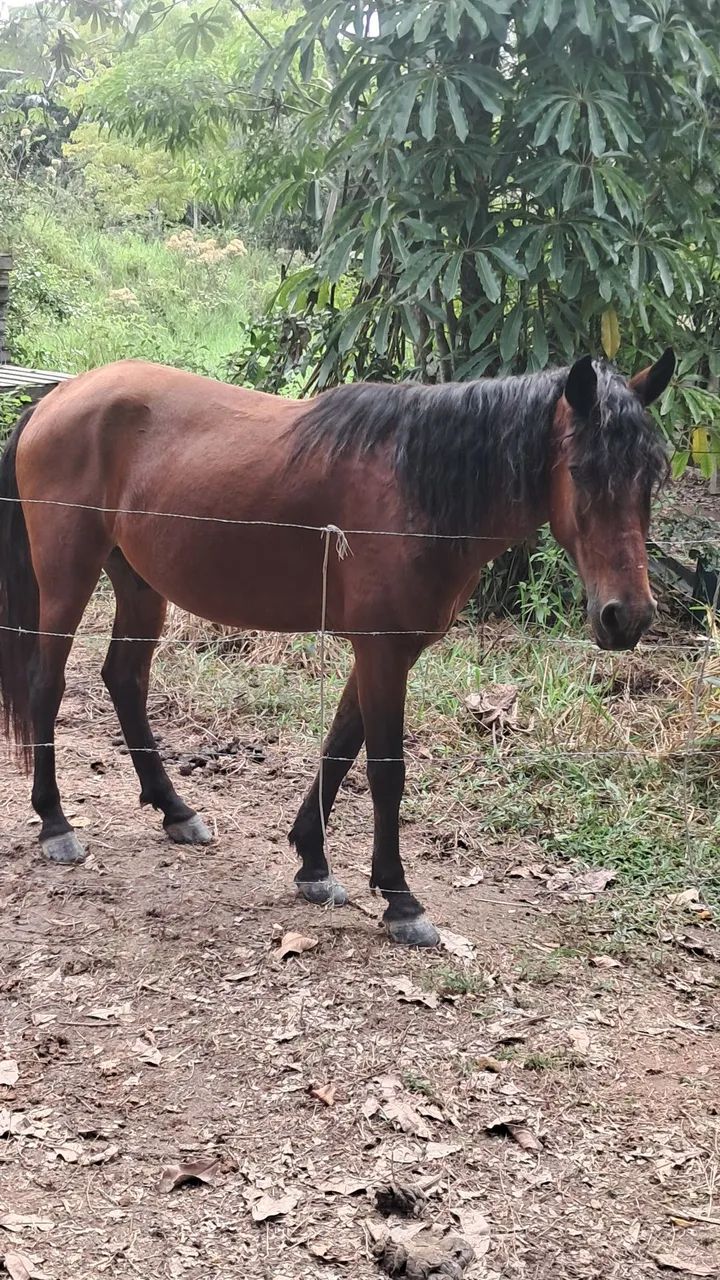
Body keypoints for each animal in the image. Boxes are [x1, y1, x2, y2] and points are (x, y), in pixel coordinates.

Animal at [0, 349, 674, 946]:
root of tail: (57, 398)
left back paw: (175, 811)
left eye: (651, 477)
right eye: (581, 471)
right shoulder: (382, 651)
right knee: (46, 685)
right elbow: (383, 770)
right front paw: (401, 901)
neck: (413, 486)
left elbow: (340, 748)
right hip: (67, 578)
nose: (627, 617)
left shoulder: (387, 651)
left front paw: (314, 865)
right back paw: (55, 823)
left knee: (125, 681)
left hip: (140, 585)